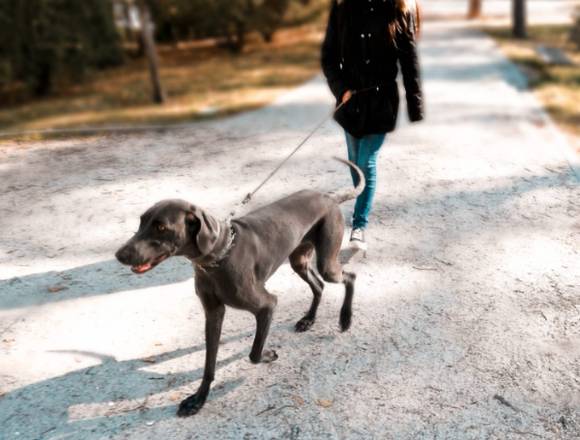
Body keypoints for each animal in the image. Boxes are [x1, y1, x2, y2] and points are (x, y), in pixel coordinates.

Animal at [114, 157, 362, 416]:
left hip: (326, 262)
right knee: (319, 285)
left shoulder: (267, 305)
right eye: (141, 221)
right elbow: (209, 364)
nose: (119, 255)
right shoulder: (213, 312)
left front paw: (268, 354)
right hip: (299, 261)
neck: (218, 255)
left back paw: (345, 319)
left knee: (349, 277)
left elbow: (253, 354)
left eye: (161, 227)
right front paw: (198, 399)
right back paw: (308, 320)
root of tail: (328, 196)